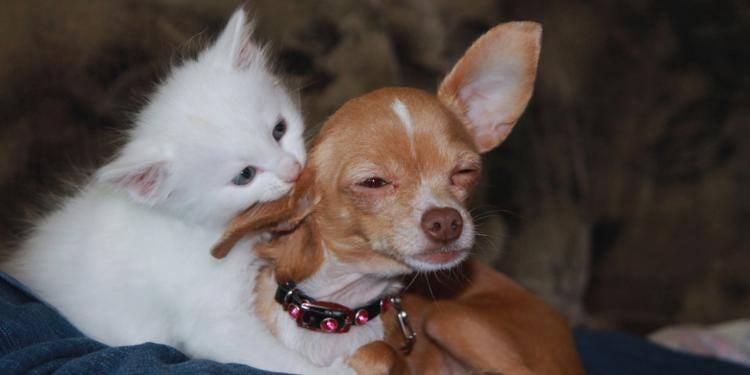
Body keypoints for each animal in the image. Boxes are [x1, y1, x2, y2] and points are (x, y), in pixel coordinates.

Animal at [2, 9, 352, 375]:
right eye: (244, 175)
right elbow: (269, 356)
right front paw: (335, 369)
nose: (293, 170)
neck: (197, 226)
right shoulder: (212, 317)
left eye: (279, 130)